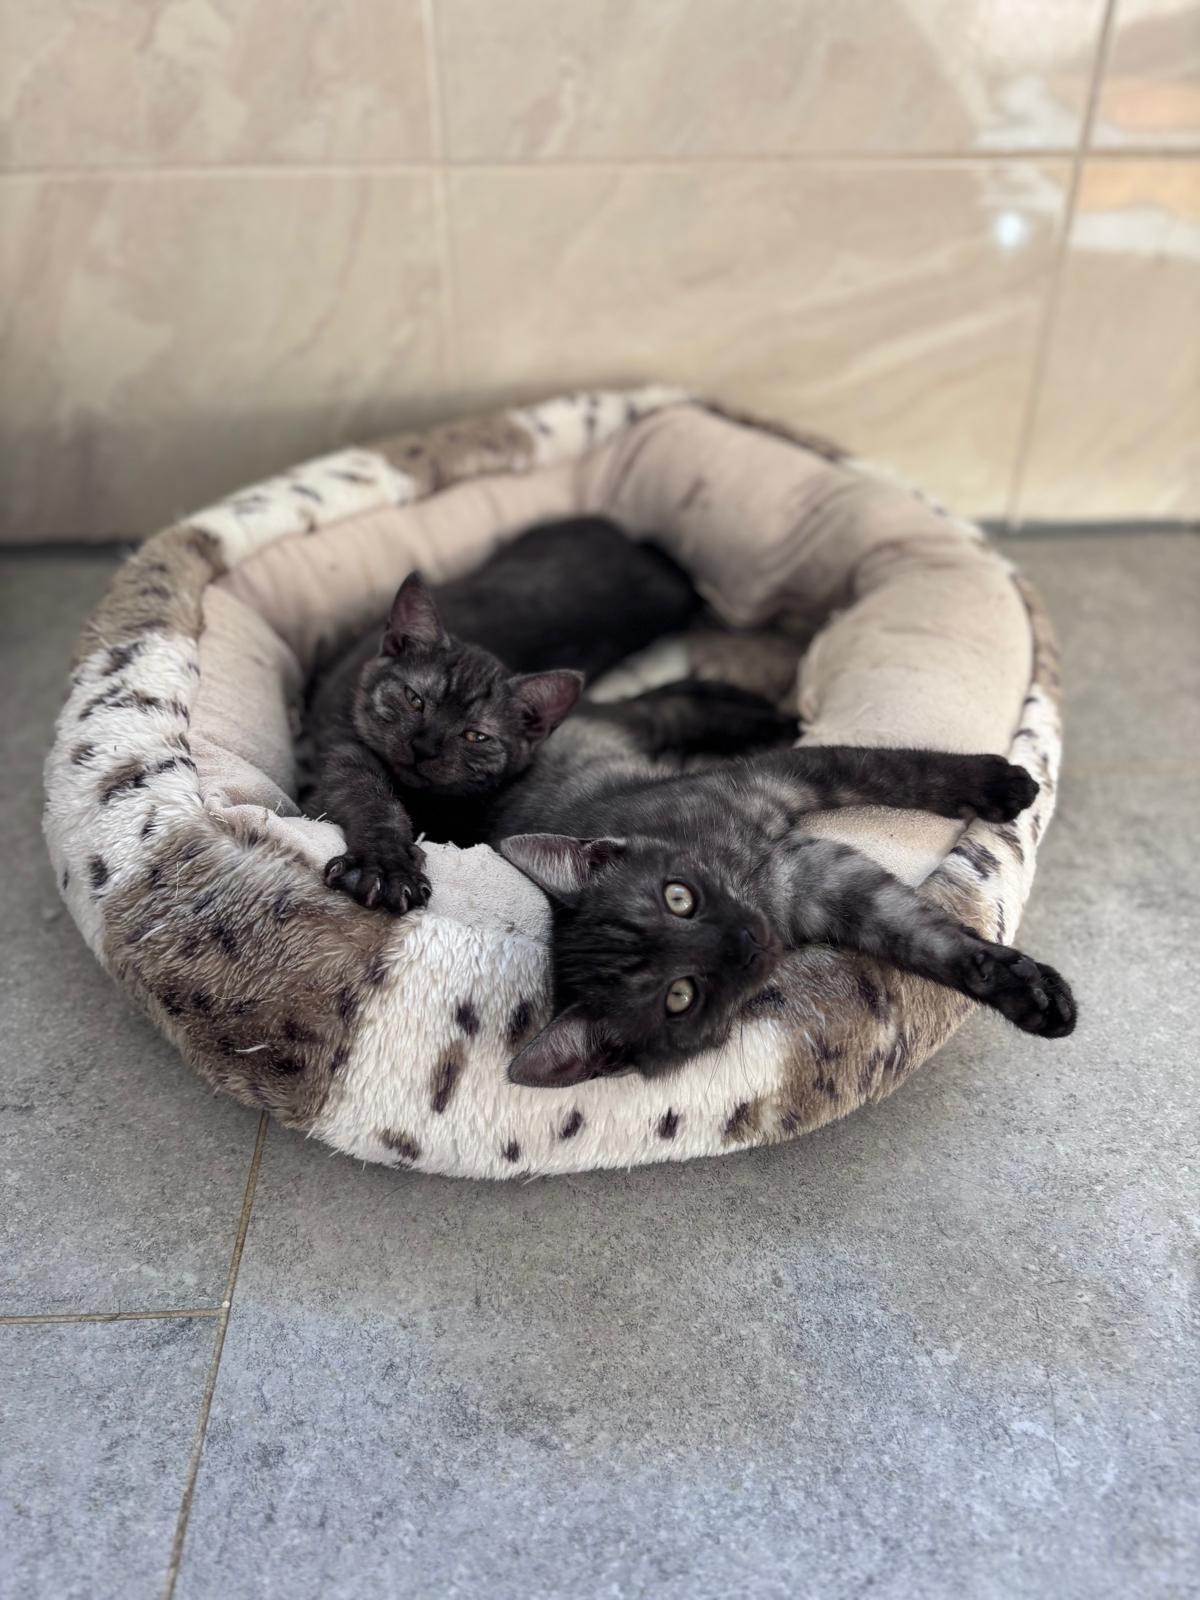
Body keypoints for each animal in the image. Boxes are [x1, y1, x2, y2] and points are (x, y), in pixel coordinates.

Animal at [309, 517, 702, 913]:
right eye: (414, 699)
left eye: (475, 736)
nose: (423, 747)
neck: (423, 801)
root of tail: (631, 540)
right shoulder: (343, 752)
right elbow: (370, 799)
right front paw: (384, 865)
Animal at [487, 686, 1077, 1087]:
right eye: (680, 997)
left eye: (679, 897)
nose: (746, 940)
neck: (755, 884)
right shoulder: (828, 881)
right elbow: (919, 937)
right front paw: (1025, 992)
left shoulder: (786, 782)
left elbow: (905, 772)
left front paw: (1003, 783)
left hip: (646, 725)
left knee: (680, 701)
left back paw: (770, 711)